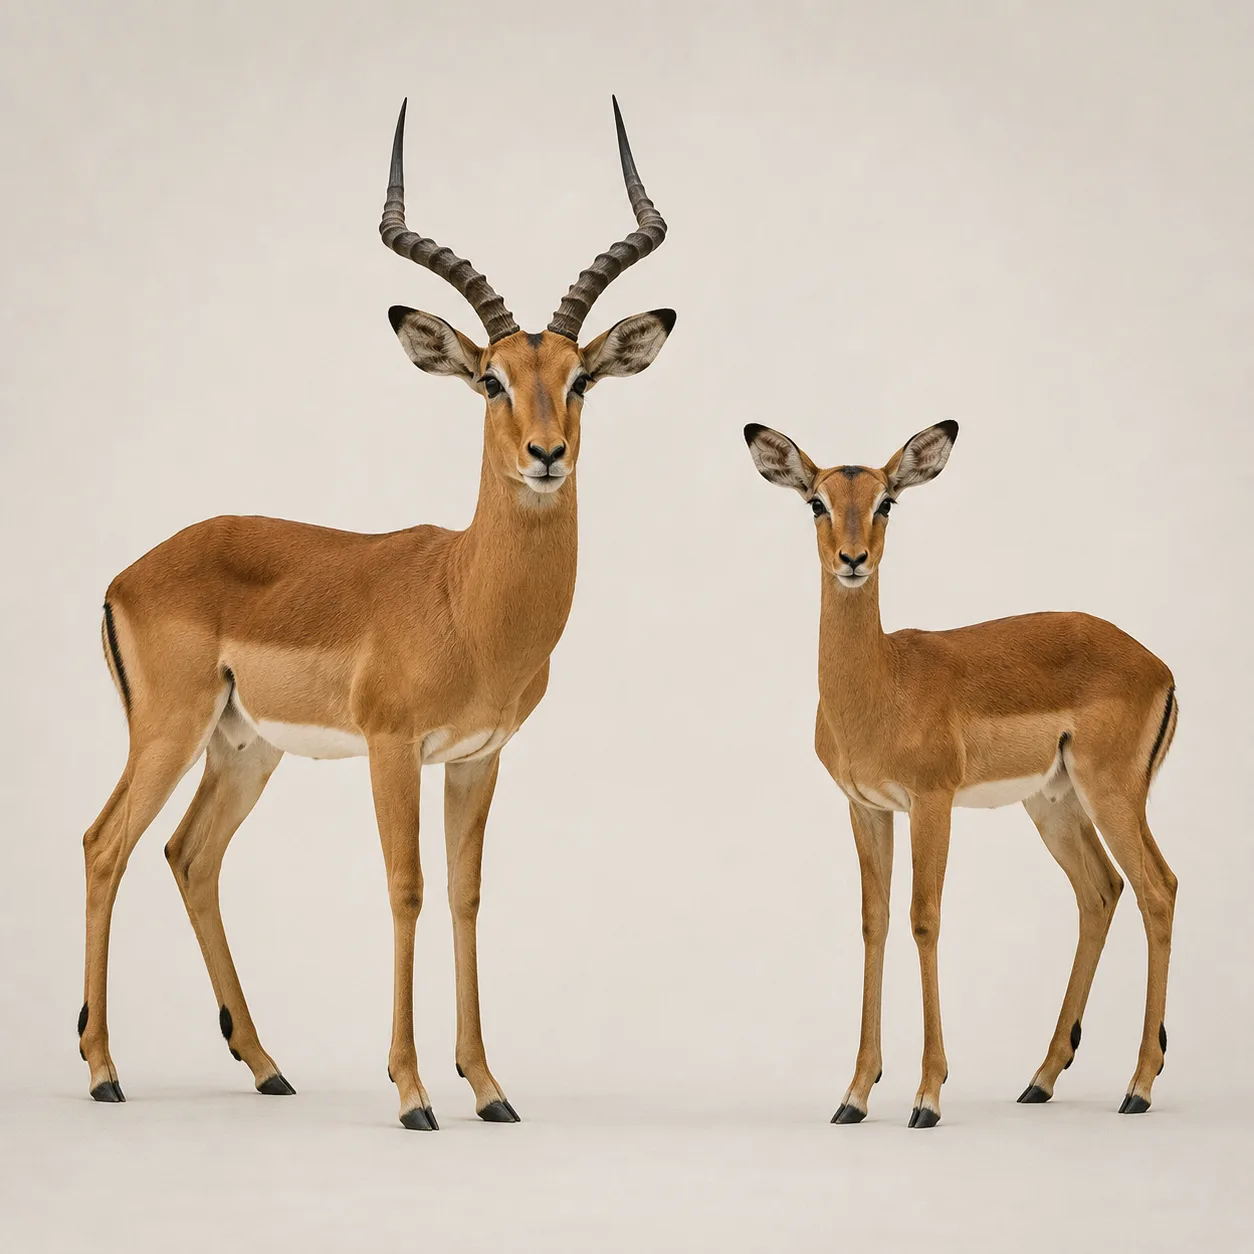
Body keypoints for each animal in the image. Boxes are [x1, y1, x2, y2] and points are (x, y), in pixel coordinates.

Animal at [78, 98, 675, 1130]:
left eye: (581, 379)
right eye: (491, 380)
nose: (546, 454)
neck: (465, 600)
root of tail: (130, 573)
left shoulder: (477, 757)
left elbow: (468, 895)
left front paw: (489, 1088)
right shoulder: (393, 748)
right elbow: (407, 889)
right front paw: (412, 1093)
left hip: (244, 746)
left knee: (190, 855)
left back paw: (266, 1066)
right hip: (167, 730)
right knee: (104, 844)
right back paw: (106, 1070)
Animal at [744, 420, 1178, 1127]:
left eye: (887, 501)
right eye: (816, 502)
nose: (853, 559)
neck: (881, 683)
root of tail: (1159, 666)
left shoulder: (932, 801)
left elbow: (925, 918)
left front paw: (927, 1095)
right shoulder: (867, 807)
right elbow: (874, 922)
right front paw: (855, 1095)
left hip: (1112, 793)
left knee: (1157, 890)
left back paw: (1137, 1087)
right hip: (1054, 804)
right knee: (1102, 890)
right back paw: (1041, 1079)